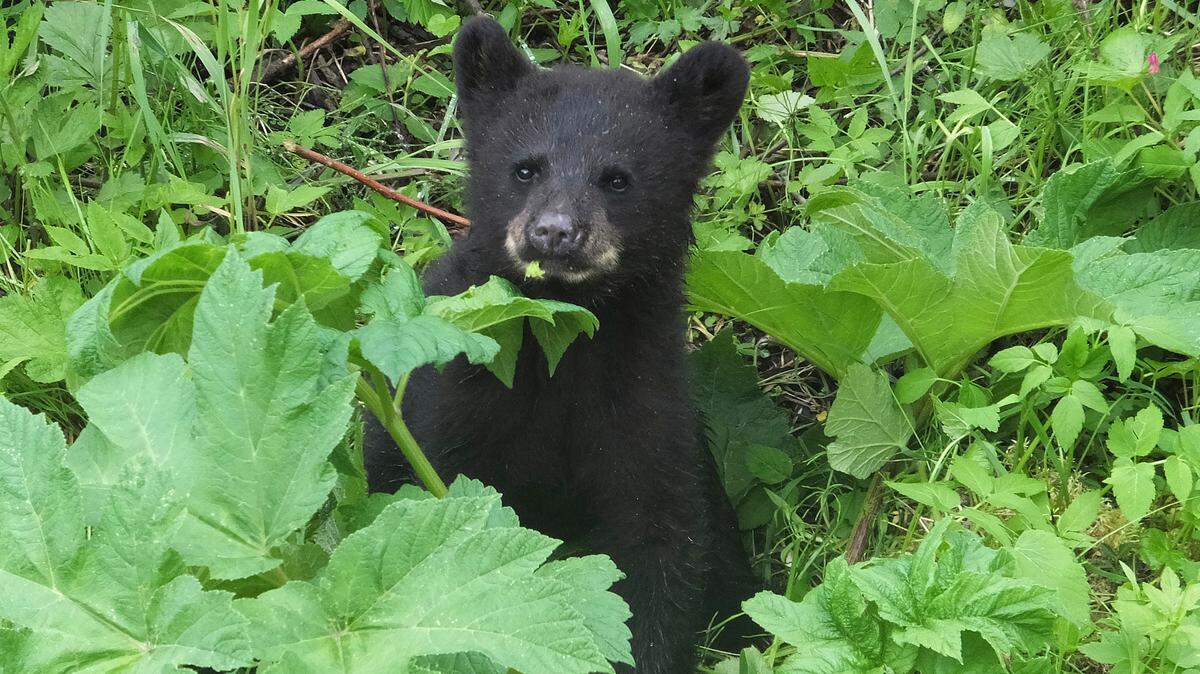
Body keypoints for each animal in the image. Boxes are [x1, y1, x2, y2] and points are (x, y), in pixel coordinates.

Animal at [364, 16, 756, 673]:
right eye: (526, 168)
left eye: (616, 178)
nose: (554, 232)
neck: (562, 342)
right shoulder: (451, 405)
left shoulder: (646, 408)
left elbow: (660, 549)